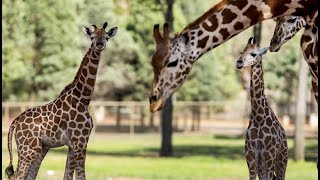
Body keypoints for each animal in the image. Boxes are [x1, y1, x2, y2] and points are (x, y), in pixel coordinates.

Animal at [5, 21, 118, 179]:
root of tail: (15, 122)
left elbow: (67, 175)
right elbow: (81, 176)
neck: (83, 98)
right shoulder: (80, 141)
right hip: (28, 149)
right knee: (17, 176)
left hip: (40, 148)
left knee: (27, 176)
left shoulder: (73, 144)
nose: (100, 44)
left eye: (107, 37)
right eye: (92, 37)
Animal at [236, 37, 288, 180]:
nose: (239, 62)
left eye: (254, 54)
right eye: (242, 52)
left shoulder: (269, 156)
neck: (258, 117)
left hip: (281, 161)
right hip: (262, 166)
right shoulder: (250, 157)